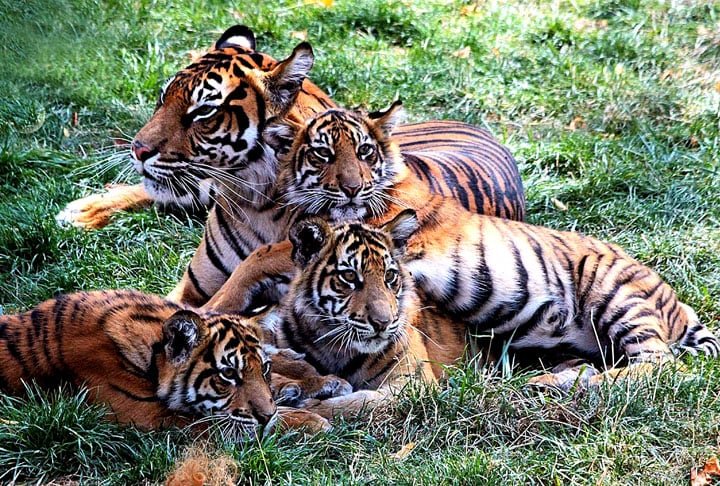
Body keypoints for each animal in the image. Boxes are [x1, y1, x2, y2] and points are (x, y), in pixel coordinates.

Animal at [0, 289, 334, 434]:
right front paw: (310, 420)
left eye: (262, 368)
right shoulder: (148, 415)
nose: (266, 416)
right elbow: (220, 423)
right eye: (227, 374)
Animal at [56, 25, 525, 308]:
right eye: (162, 98)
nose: (137, 150)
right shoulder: (190, 286)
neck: (253, 201)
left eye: (203, 111)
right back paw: (80, 210)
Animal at [210, 104, 719, 400]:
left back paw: (562, 383)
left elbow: (266, 254)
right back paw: (560, 379)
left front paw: (215, 306)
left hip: (615, 297)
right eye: (321, 154)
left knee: (661, 366)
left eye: (365, 151)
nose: (352, 187)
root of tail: (677, 303)